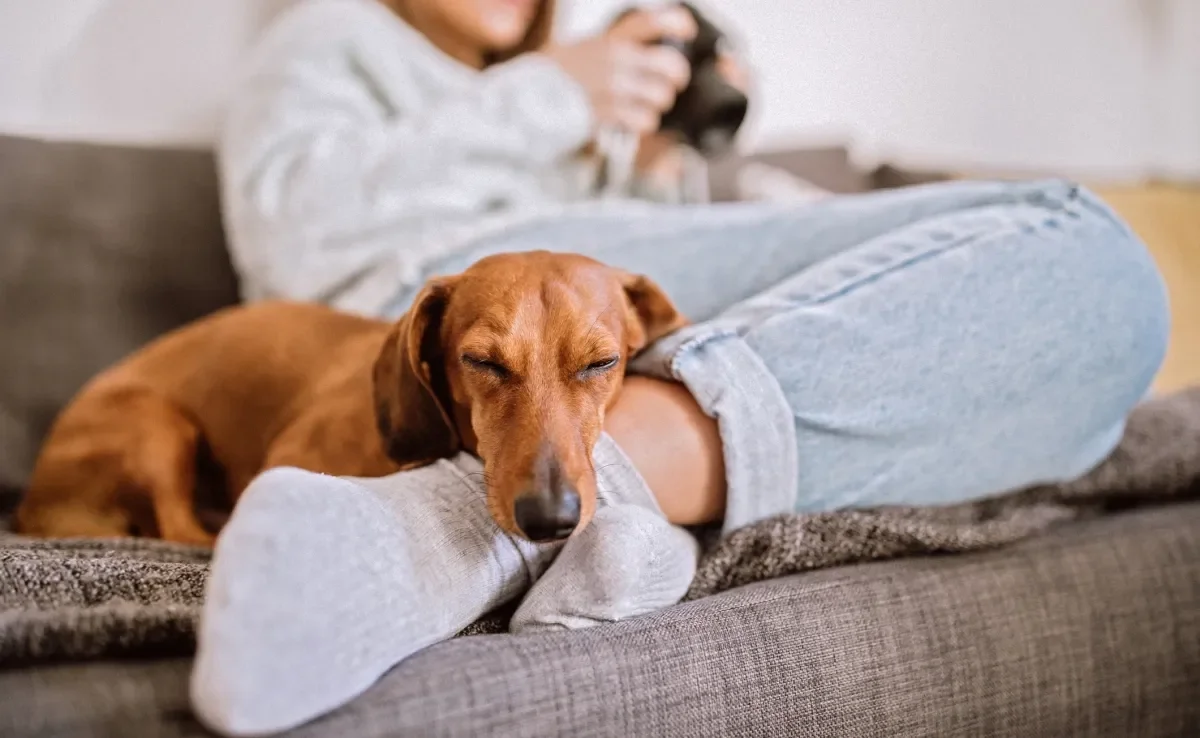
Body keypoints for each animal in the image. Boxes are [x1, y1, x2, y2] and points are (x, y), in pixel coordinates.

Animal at [16, 250, 686, 544]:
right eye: (481, 362)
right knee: (181, 530)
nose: (551, 520)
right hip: (157, 425)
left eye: (602, 363)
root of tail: (32, 504)